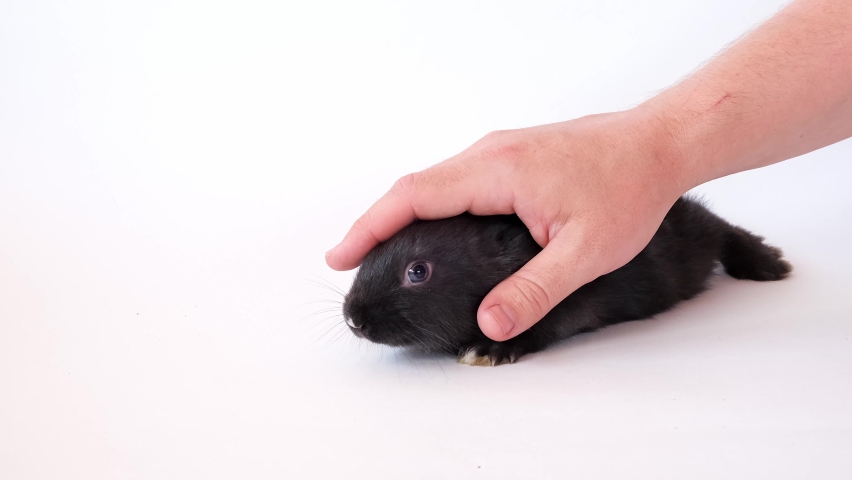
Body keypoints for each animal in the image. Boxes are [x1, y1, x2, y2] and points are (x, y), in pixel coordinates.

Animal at [341, 196, 792, 366]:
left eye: (417, 272)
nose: (353, 318)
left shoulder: (572, 296)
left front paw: (489, 349)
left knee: (722, 229)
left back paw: (767, 262)